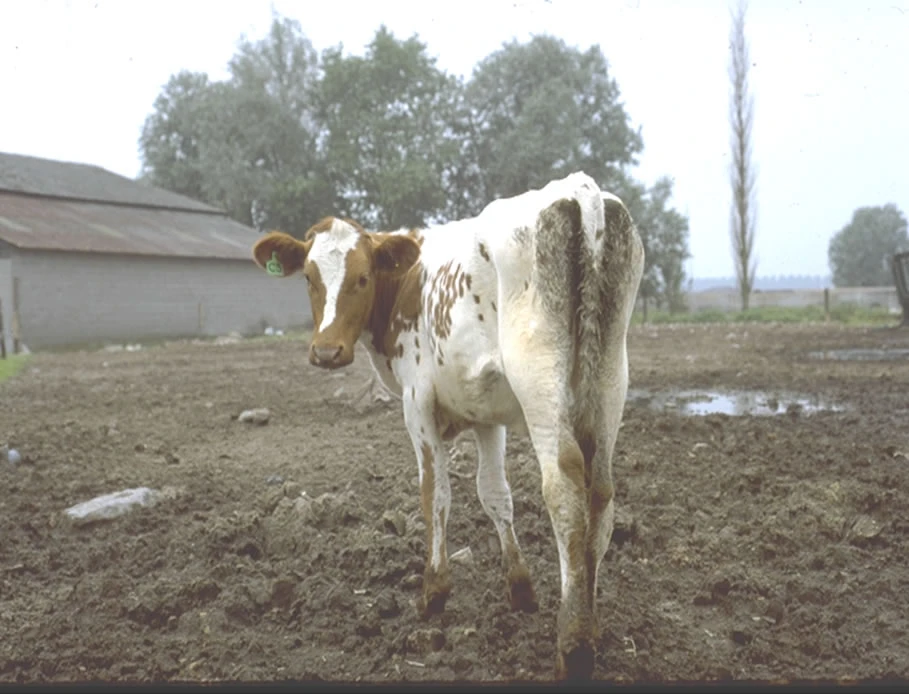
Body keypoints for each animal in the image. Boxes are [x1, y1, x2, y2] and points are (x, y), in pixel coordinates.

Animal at [252, 172, 644, 680]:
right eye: (309, 278)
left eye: (363, 277)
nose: (326, 351)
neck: (409, 279)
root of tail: (578, 189)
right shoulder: (485, 412)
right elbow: (495, 495)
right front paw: (520, 589)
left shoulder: (417, 403)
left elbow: (434, 493)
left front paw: (434, 591)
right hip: (609, 380)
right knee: (601, 492)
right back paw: (590, 624)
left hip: (541, 384)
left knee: (564, 489)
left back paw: (573, 645)